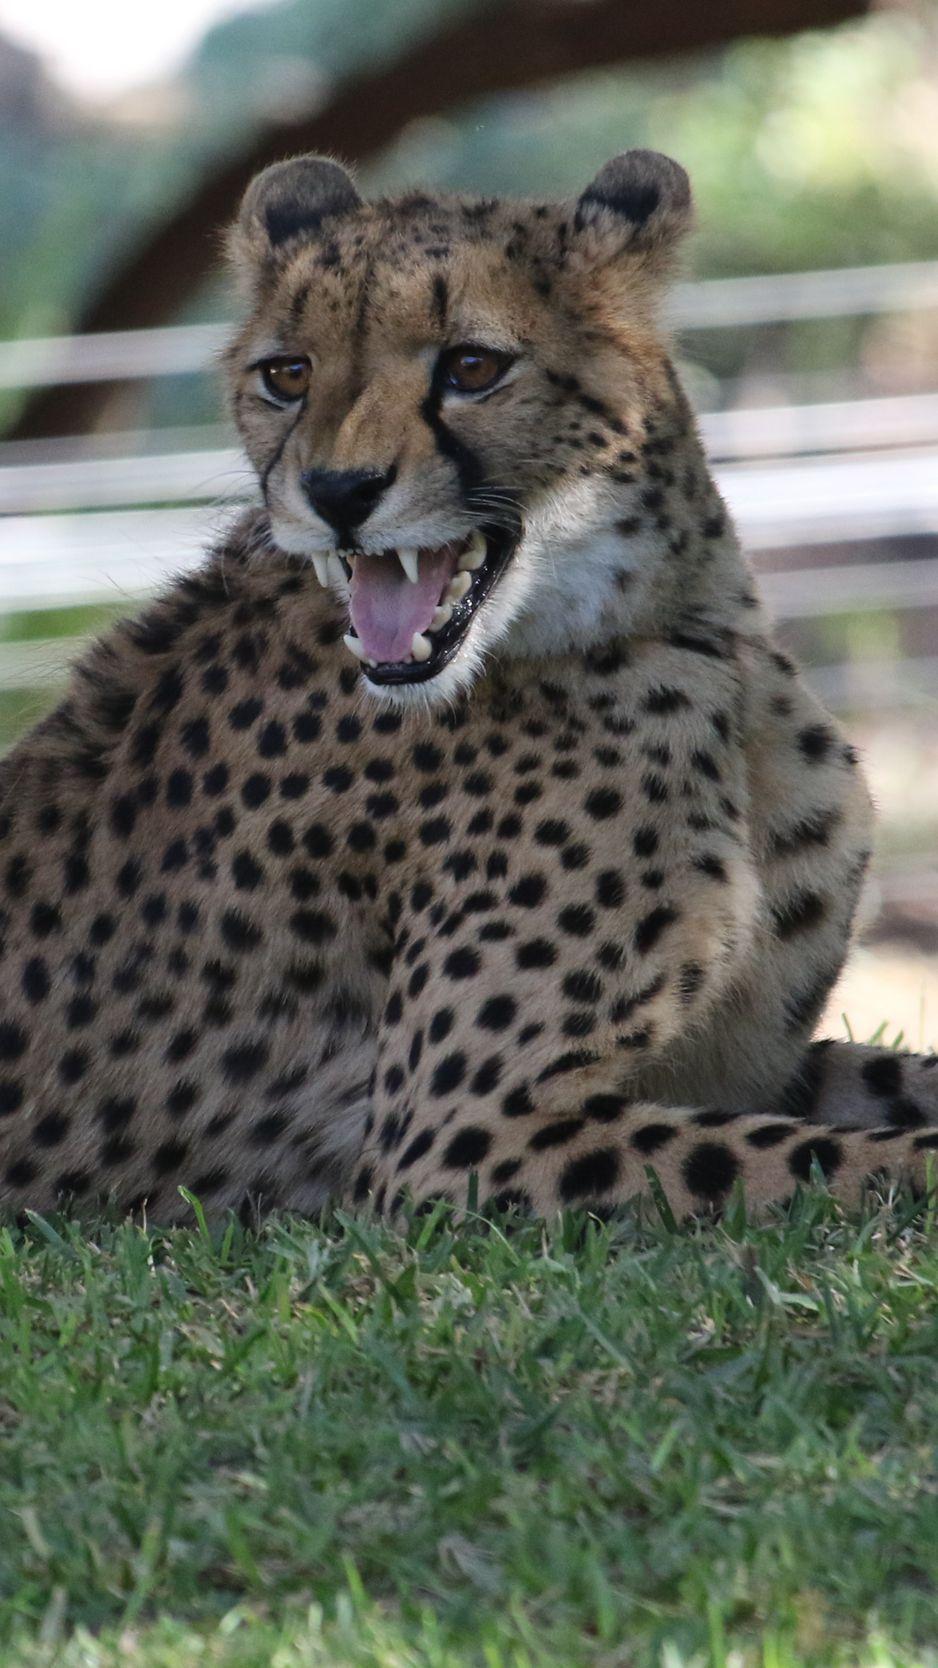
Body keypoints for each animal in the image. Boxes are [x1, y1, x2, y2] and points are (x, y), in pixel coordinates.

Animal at [0, 147, 936, 1227]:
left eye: (472, 367)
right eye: (288, 375)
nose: (336, 492)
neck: (682, 636)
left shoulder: (743, 1067)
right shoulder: (453, 1142)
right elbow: (866, 1161)